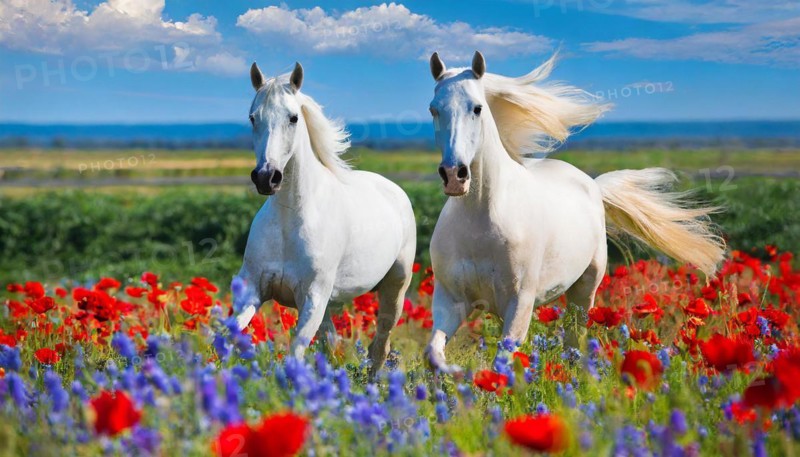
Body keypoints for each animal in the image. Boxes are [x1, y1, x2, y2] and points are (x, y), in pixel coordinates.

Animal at [233, 62, 417, 375]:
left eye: (293, 118)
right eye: (252, 117)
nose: (266, 177)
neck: (289, 221)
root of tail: (394, 189)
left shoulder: (313, 297)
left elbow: (295, 351)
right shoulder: (255, 288)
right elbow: (231, 333)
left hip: (395, 288)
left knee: (380, 346)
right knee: (332, 345)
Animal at [424, 51, 725, 373]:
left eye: (477, 108)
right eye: (434, 109)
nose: (454, 175)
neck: (481, 221)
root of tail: (592, 184)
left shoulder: (519, 302)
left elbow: (500, 364)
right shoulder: (450, 299)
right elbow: (433, 354)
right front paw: (456, 374)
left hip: (585, 291)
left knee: (574, 341)